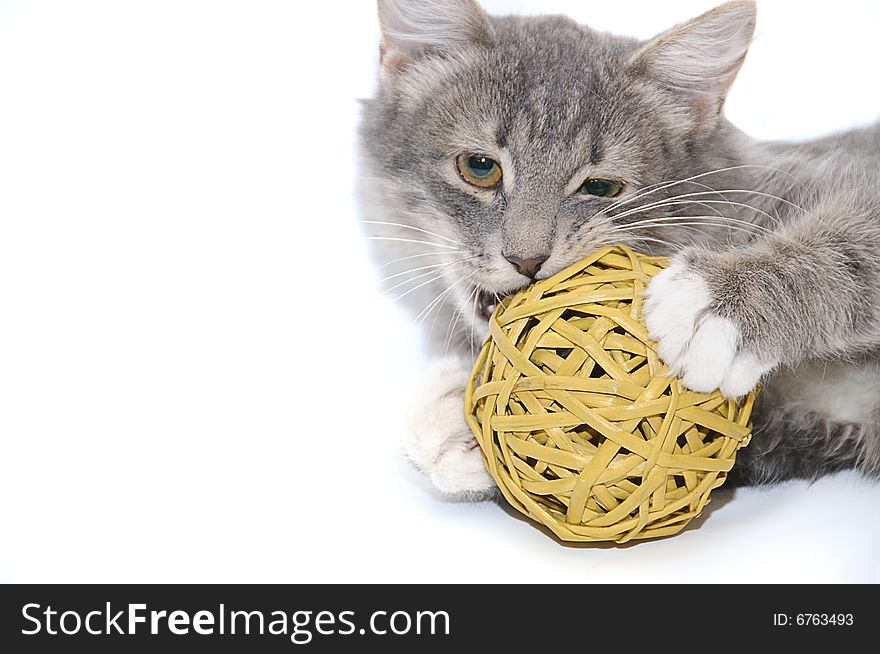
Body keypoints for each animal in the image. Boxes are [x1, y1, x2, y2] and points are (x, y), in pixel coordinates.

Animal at [356, 0, 880, 500]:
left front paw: (715, 300)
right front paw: (458, 421)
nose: (527, 259)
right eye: (480, 167)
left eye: (600, 187)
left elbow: (850, 244)